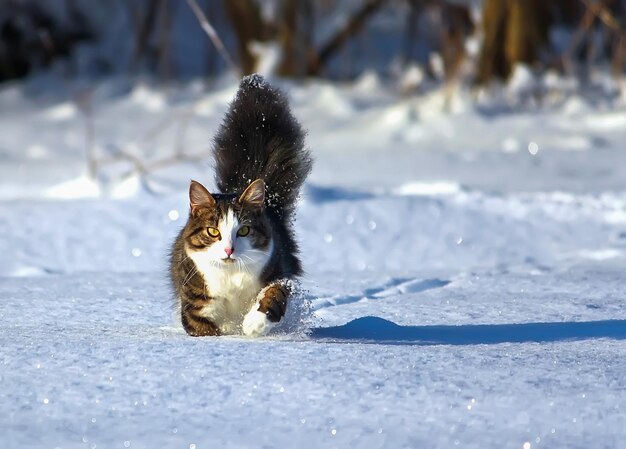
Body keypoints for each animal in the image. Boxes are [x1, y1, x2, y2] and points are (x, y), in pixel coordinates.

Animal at [169, 74, 310, 336]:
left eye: (244, 230)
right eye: (213, 231)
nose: (228, 250)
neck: (231, 276)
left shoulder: (278, 271)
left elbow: (274, 293)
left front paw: (255, 323)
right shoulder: (195, 300)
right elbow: (204, 327)